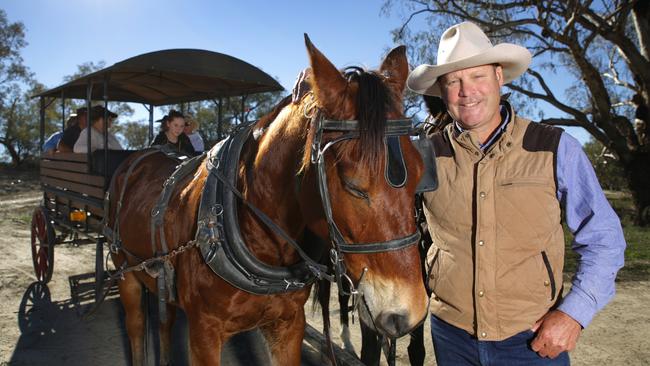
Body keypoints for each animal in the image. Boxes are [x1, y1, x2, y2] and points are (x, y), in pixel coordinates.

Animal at [107, 35, 430, 366]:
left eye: (421, 173)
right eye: (352, 185)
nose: (409, 312)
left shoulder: (288, 324)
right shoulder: (203, 332)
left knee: (164, 323)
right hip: (125, 273)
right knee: (136, 329)